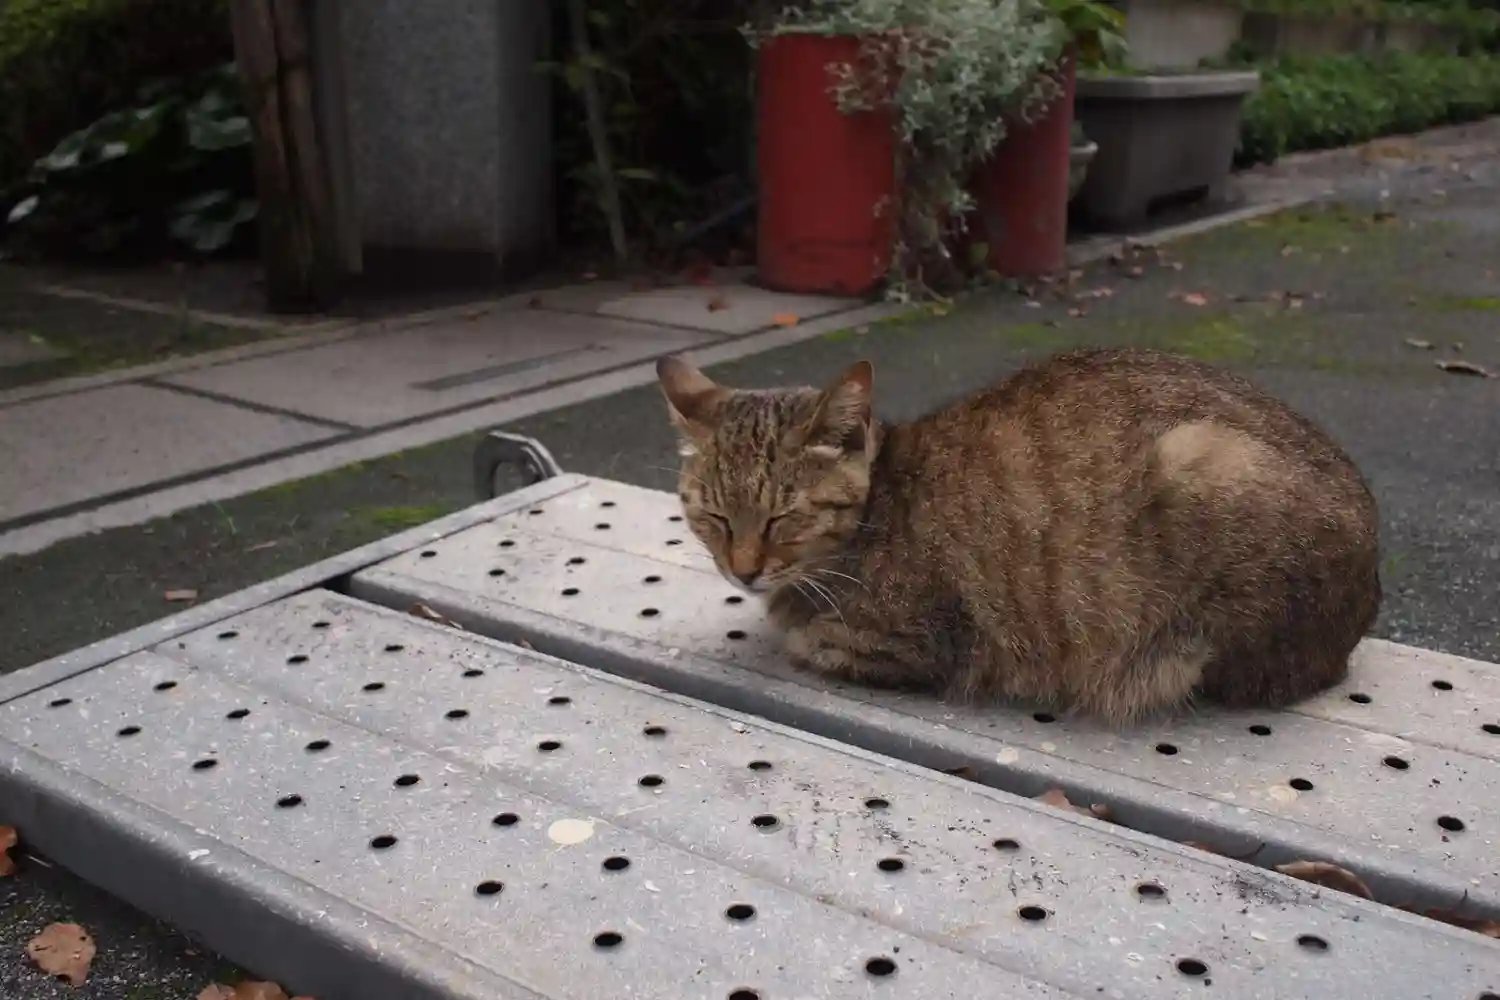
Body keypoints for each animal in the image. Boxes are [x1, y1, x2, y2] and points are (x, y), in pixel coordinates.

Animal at [655, 347, 1381, 724]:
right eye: (714, 517)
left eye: (784, 517)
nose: (744, 569)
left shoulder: (912, 642)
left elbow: (814, 640)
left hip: (1204, 466)